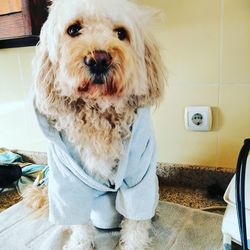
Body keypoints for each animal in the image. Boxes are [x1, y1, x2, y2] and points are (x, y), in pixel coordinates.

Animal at [23, 0, 164, 249]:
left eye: (121, 33)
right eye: (73, 29)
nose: (99, 59)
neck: (98, 113)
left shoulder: (141, 172)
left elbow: (136, 222)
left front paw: (134, 243)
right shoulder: (67, 178)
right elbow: (79, 222)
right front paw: (80, 243)